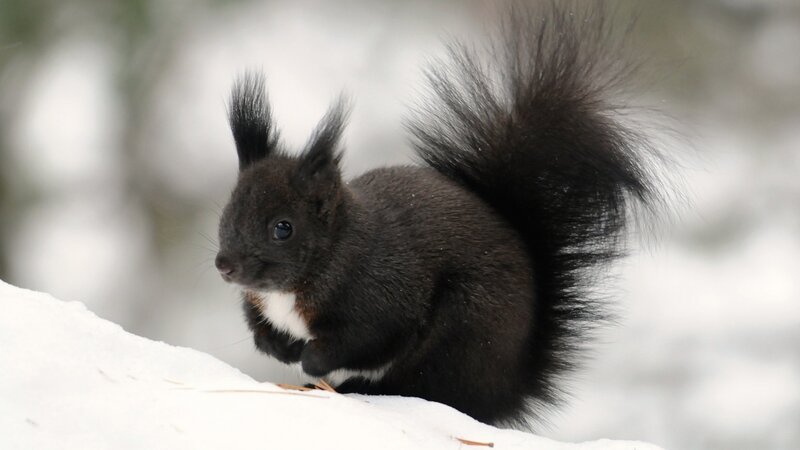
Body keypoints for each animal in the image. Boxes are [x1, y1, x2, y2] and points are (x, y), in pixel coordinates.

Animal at [214, 3, 664, 426]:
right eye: (228, 213)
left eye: (283, 228)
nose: (225, 266)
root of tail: (509, 388)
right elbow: (260, 327)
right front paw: (278, 347)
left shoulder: (382, 296)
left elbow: (364, 341)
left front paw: (310, 359)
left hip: (461, 331)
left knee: (426, 386)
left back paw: (356, 387)